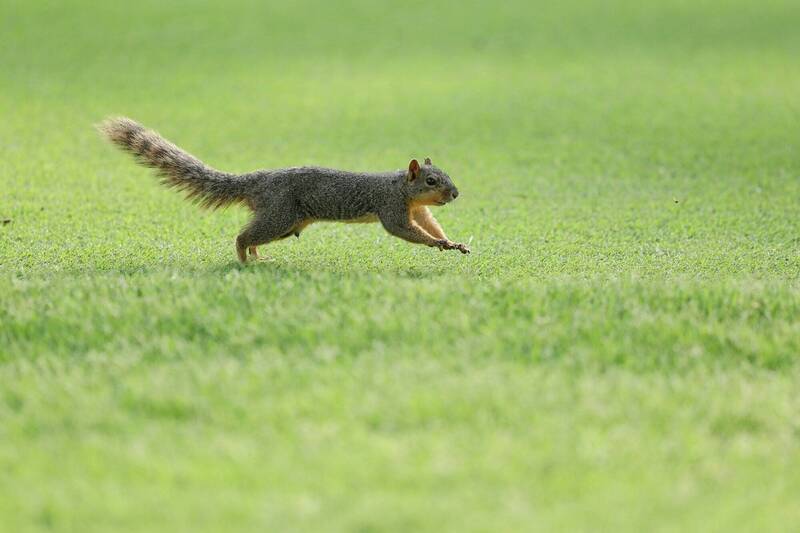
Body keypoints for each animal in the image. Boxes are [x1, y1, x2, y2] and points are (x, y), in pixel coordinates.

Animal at [102, 117, 472, 262]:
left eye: (445, 175)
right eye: (430, 181)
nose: (455, 194)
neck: (401, 187)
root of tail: (257, 180)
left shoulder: (417, 209)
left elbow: (430, 224)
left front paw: (451, 241)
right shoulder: (392, 207)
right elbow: (404, 231)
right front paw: (438, 244)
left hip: (284, 223)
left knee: (252, 235)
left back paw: (256, 257)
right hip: (280, 216)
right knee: (242, 236)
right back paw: (244, 260)